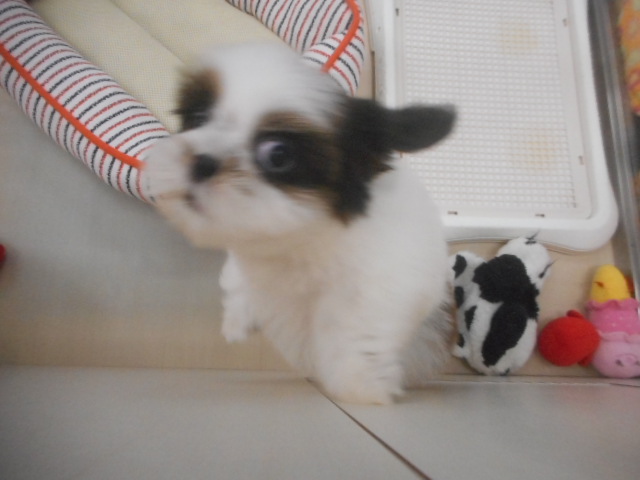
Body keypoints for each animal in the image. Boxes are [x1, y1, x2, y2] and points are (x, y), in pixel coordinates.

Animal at [145, 42, 455, 404]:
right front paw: (237, 318)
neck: (299, 238)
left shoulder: (381, 284)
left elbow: (356, 330)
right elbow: (237, 279)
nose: (201, 162)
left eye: (278, 155)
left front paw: (360, 386)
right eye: (197, 119)